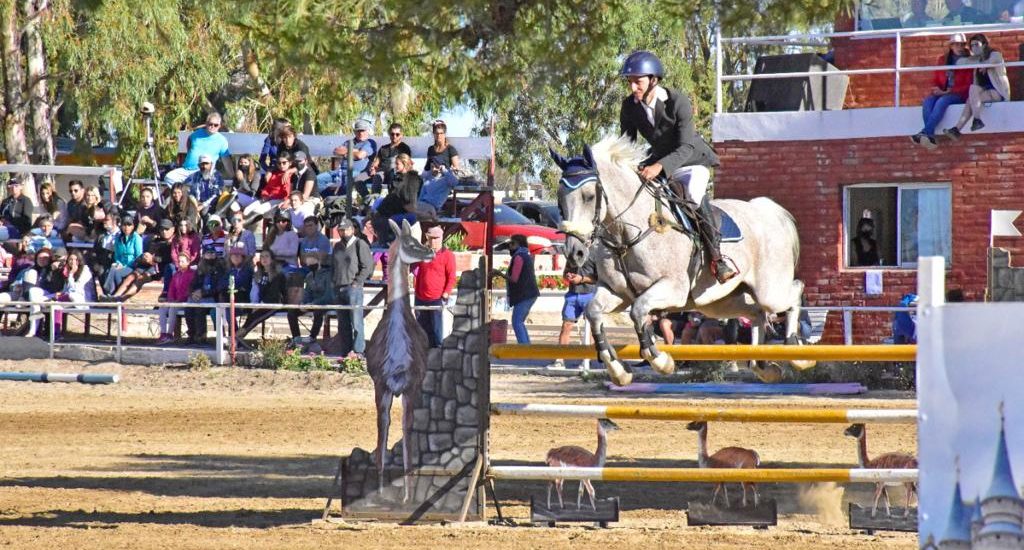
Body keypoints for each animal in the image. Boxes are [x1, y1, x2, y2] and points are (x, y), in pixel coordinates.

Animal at [552, 134, 806, 383]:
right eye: (559, 199)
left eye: (588, 196)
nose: (574, 252)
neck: (625, 235)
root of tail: (768, 212)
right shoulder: (617, 292)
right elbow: (594, 311)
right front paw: (618, 369)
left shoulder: (673, 288)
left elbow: (638, 311)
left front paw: (661, 361)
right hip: (719, 302)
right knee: (757, 313)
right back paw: (763, 366)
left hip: (768, 290)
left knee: (794, 292)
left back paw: (796, 352)